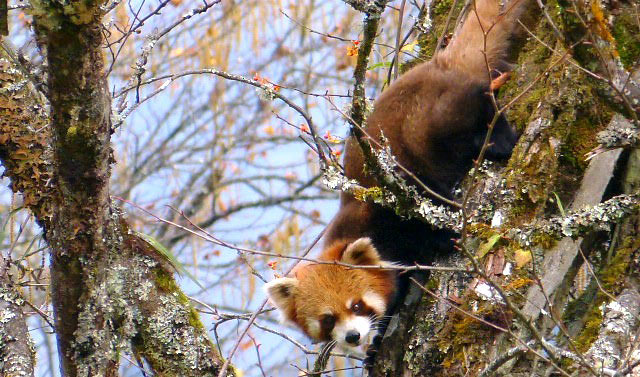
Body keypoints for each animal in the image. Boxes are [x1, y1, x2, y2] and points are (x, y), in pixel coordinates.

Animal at [264, 0, 528, 350]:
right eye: (328, 319)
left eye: (356, 305)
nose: (353, 336)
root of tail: (439, 63)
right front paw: (375, 345)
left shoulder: (390, 210)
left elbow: (424, 214)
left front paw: (446, 236)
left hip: (433, 119)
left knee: (476, 107)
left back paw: (501, 139)